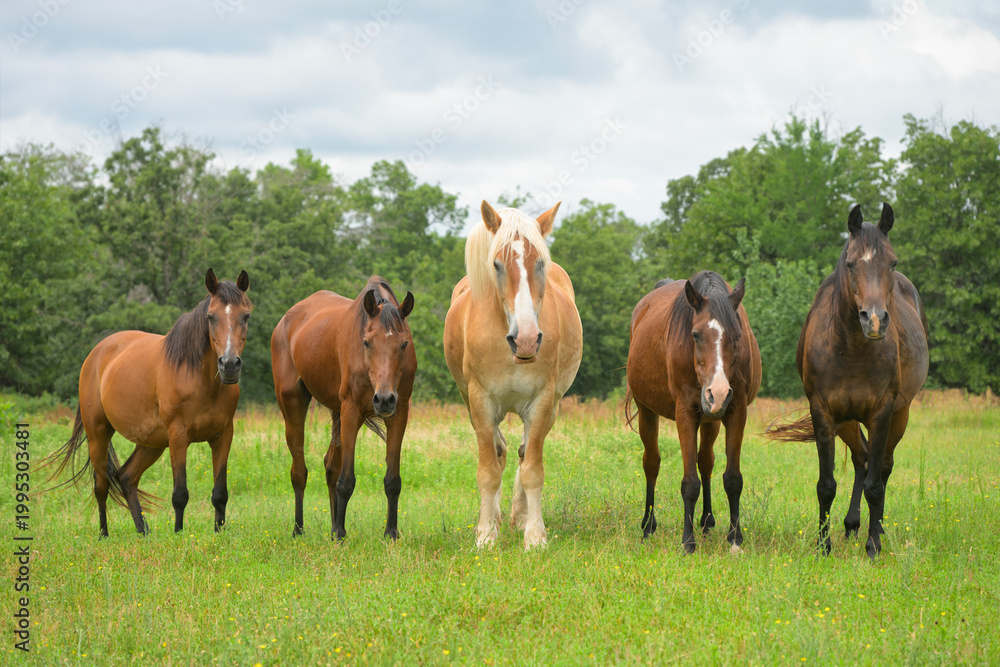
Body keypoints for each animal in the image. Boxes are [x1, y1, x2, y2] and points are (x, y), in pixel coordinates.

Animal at [45, 269, 252, 537]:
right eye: (210, 317)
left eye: (246, 315)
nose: (229, 365)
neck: (199, 379)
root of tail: (95, 354)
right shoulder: (178, 436)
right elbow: (180, 494)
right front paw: (178, 534)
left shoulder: (223, 435)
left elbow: (220, 494)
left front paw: (219, 533)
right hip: (98, 434)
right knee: (101, 486)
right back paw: (104, 534)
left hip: (151, 444)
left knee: (126, 478)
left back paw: (143, 531)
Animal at [271, 277, 416, 541]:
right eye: (366, 342)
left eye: (404, 344)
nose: (383, 399)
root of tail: (285, 320)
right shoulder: (351, 411)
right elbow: (346, 480)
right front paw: (340, 534)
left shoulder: (399, 414)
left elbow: (392, 480)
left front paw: (391, 533)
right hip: (293, 405)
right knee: (299, 472)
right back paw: (299, 529)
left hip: (338, 413)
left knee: (330, 466)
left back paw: (330, 526)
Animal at [443, 200, 582, 549]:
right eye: (496, 265)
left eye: (541, 263)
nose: (526, 340)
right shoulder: (480, 402)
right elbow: (488, 470)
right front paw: (485, 535)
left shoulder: (542, 402)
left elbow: (532, 469)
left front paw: (535, 536)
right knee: (501, 451)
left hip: (552, 406)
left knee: (522, 453)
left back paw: (520, 517)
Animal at [624, 271, 761, 554]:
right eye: (696, 335)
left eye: (737, 336)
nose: (717, 392)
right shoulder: (685, 413)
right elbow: (689, 483)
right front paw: (688, 542)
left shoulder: (736, 412)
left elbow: (732, 479)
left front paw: (735, 538)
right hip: (647, 411)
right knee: (651, 463)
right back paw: (648, 526)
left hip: (711, 419)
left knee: (705, 462)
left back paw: (707, 521)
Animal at [768, 203, 928, 558]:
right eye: (852, 263)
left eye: (893, 262)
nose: (875, 320)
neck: (850, 347)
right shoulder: (824, 413)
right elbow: (826, 485)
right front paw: (823, 545)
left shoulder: (882, 413)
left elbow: (875, 484)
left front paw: (873, 546)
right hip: (848, 420)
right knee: (861, 458)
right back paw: (852, 525)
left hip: (901, 413)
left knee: (882, 466)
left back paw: (873, 529)